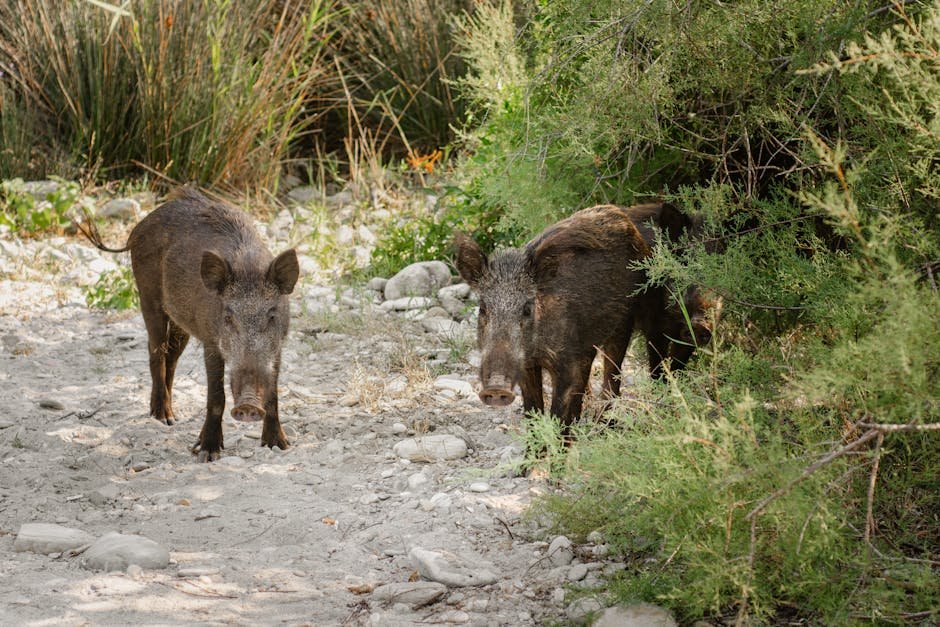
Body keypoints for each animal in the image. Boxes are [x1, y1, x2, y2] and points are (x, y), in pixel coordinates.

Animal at [78, 187, 299, 462]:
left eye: (271, 315)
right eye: (228, 317)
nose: (248, 405)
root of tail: (139, 226)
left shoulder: (278, 347)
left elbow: (273, 393)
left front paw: (280, 445)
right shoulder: (211, 343)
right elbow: (216, 396)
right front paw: (206, 453)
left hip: (181, 323)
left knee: (171, 358)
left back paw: (173, 416)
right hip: (148, 297)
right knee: (156, 353)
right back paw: (163, 418)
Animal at [454, 204, 651, 435]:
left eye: (527, 308)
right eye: (483, 308)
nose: (495, 388)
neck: (538, 349)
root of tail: (622, 216)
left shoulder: (568, 363)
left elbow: (558, 417)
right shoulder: (528, 366)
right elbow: (533, 413)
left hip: (624, 322)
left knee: (611, 380)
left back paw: (603, 427)